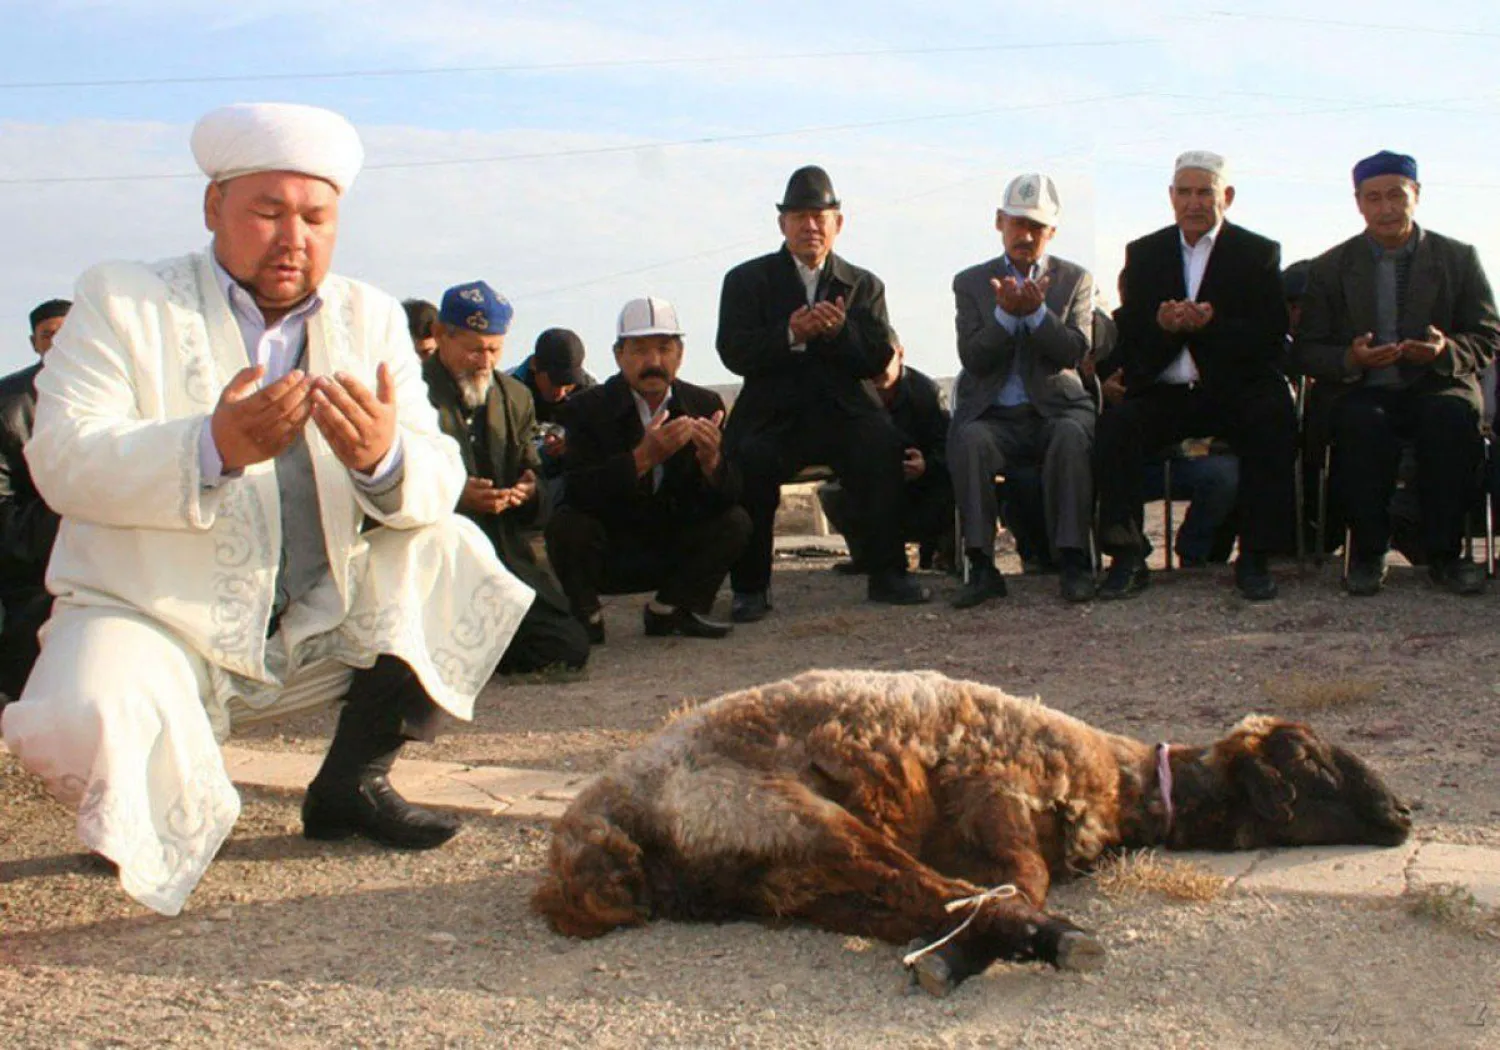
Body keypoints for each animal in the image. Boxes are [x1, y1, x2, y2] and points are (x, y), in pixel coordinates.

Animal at [534, 669, 1410, 996]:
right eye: (1309, 760)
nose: (1404, 816)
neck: (1125, 782)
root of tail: (590, 840)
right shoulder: (999, 799)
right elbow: (1014, 879)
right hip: (789, 817)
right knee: (953, 894)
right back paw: (1047, 944)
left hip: (783, 874)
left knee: (920, 902)